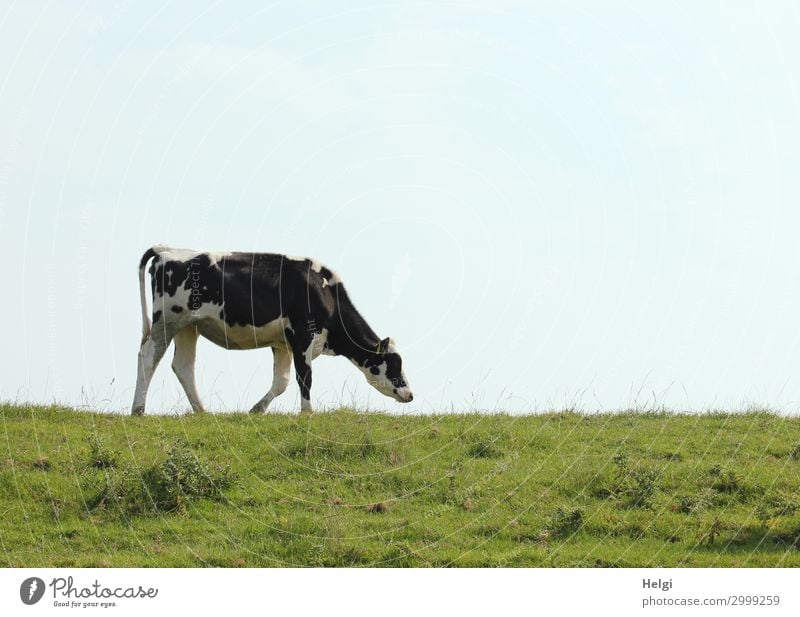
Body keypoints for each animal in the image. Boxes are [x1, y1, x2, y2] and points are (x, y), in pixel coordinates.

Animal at [130, 245, 412, 414]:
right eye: (394, 364)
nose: (409, 394)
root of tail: (167, 251)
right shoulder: (303, 337)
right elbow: (305, 378)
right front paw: (308, 413)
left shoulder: (282, 344)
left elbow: (281, 382)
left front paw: (256, 410)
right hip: (167, 320)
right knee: (148, 357)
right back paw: (138, 410)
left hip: (188, 326)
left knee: (183, 366)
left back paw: (202, 411)